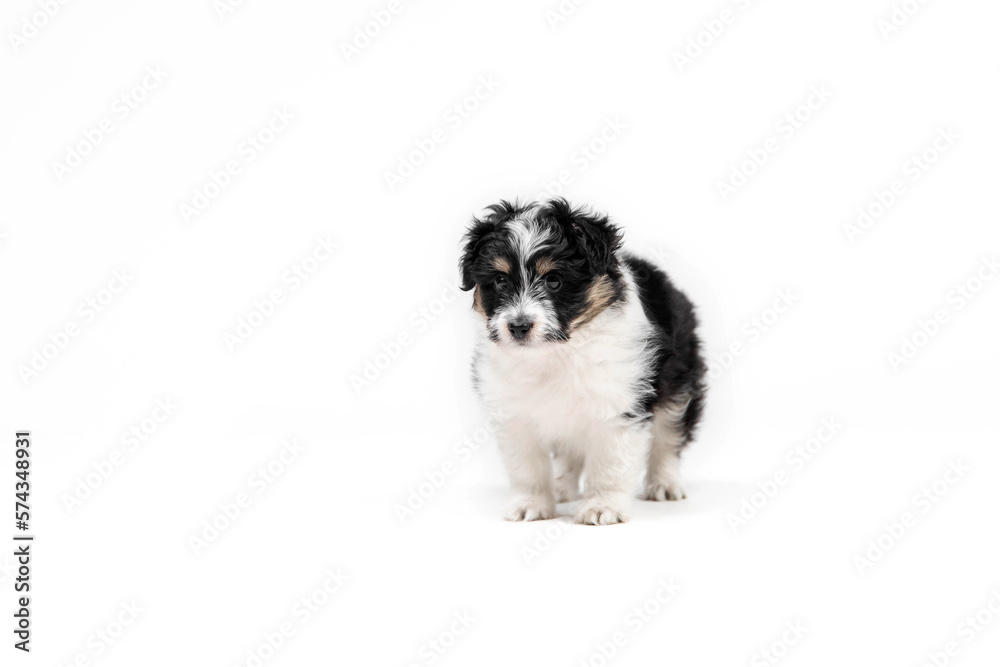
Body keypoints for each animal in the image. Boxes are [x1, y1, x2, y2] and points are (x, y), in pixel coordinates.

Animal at [458, 198, 708, 528]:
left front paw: (602, 506)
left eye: (554, 280)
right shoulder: (514, 413)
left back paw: (664, 485)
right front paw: (530, 504)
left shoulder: (619, 405)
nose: (518, 327)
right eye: (499, 280)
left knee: (669, 435)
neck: (557, 351)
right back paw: (562, 487)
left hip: (679, 381)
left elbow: (609, 464)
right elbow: (527, 466)